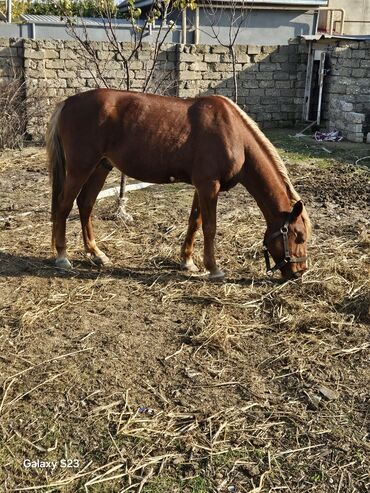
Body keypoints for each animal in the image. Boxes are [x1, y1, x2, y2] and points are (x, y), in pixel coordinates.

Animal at [47, 90, 312, 278]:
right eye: (298, 237)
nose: (299, 273)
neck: (234, 134)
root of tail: (68, 103)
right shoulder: (209, 186)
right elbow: (210, 227)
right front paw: (213, 268)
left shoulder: (201, 186)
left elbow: (194, 222)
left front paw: (187, 261)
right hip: (81, 167)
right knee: (64, 206)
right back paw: (62, 256)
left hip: (101, 167)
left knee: (85, 204)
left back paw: (96, 254)